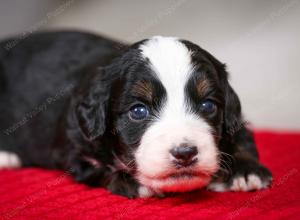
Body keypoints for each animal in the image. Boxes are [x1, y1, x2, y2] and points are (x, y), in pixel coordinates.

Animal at [0, 31, 272, 198]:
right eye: (139, 111)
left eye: (208, 106)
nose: (185, 153)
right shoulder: (74, 147)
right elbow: (102, 169)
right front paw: (136, 181)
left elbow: (242, 136)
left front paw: (245, 171)